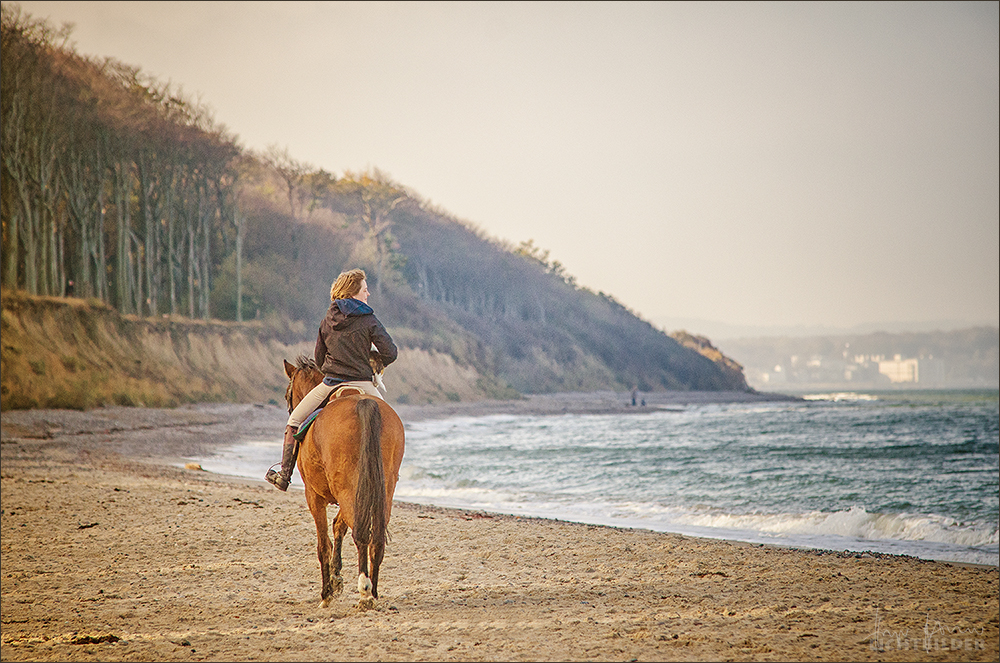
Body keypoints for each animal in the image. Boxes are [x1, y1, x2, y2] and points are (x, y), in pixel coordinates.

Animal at [282, 358, 406, 608]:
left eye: (286, 394)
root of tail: (364, 403)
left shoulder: (314, 496)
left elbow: (324, 545)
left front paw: (327, 593)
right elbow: (338, 526)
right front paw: (336, 578)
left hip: (347, 490)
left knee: (361, 532)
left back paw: (364, 591)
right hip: (381, 490)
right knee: (375, 535)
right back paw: (373, 592)